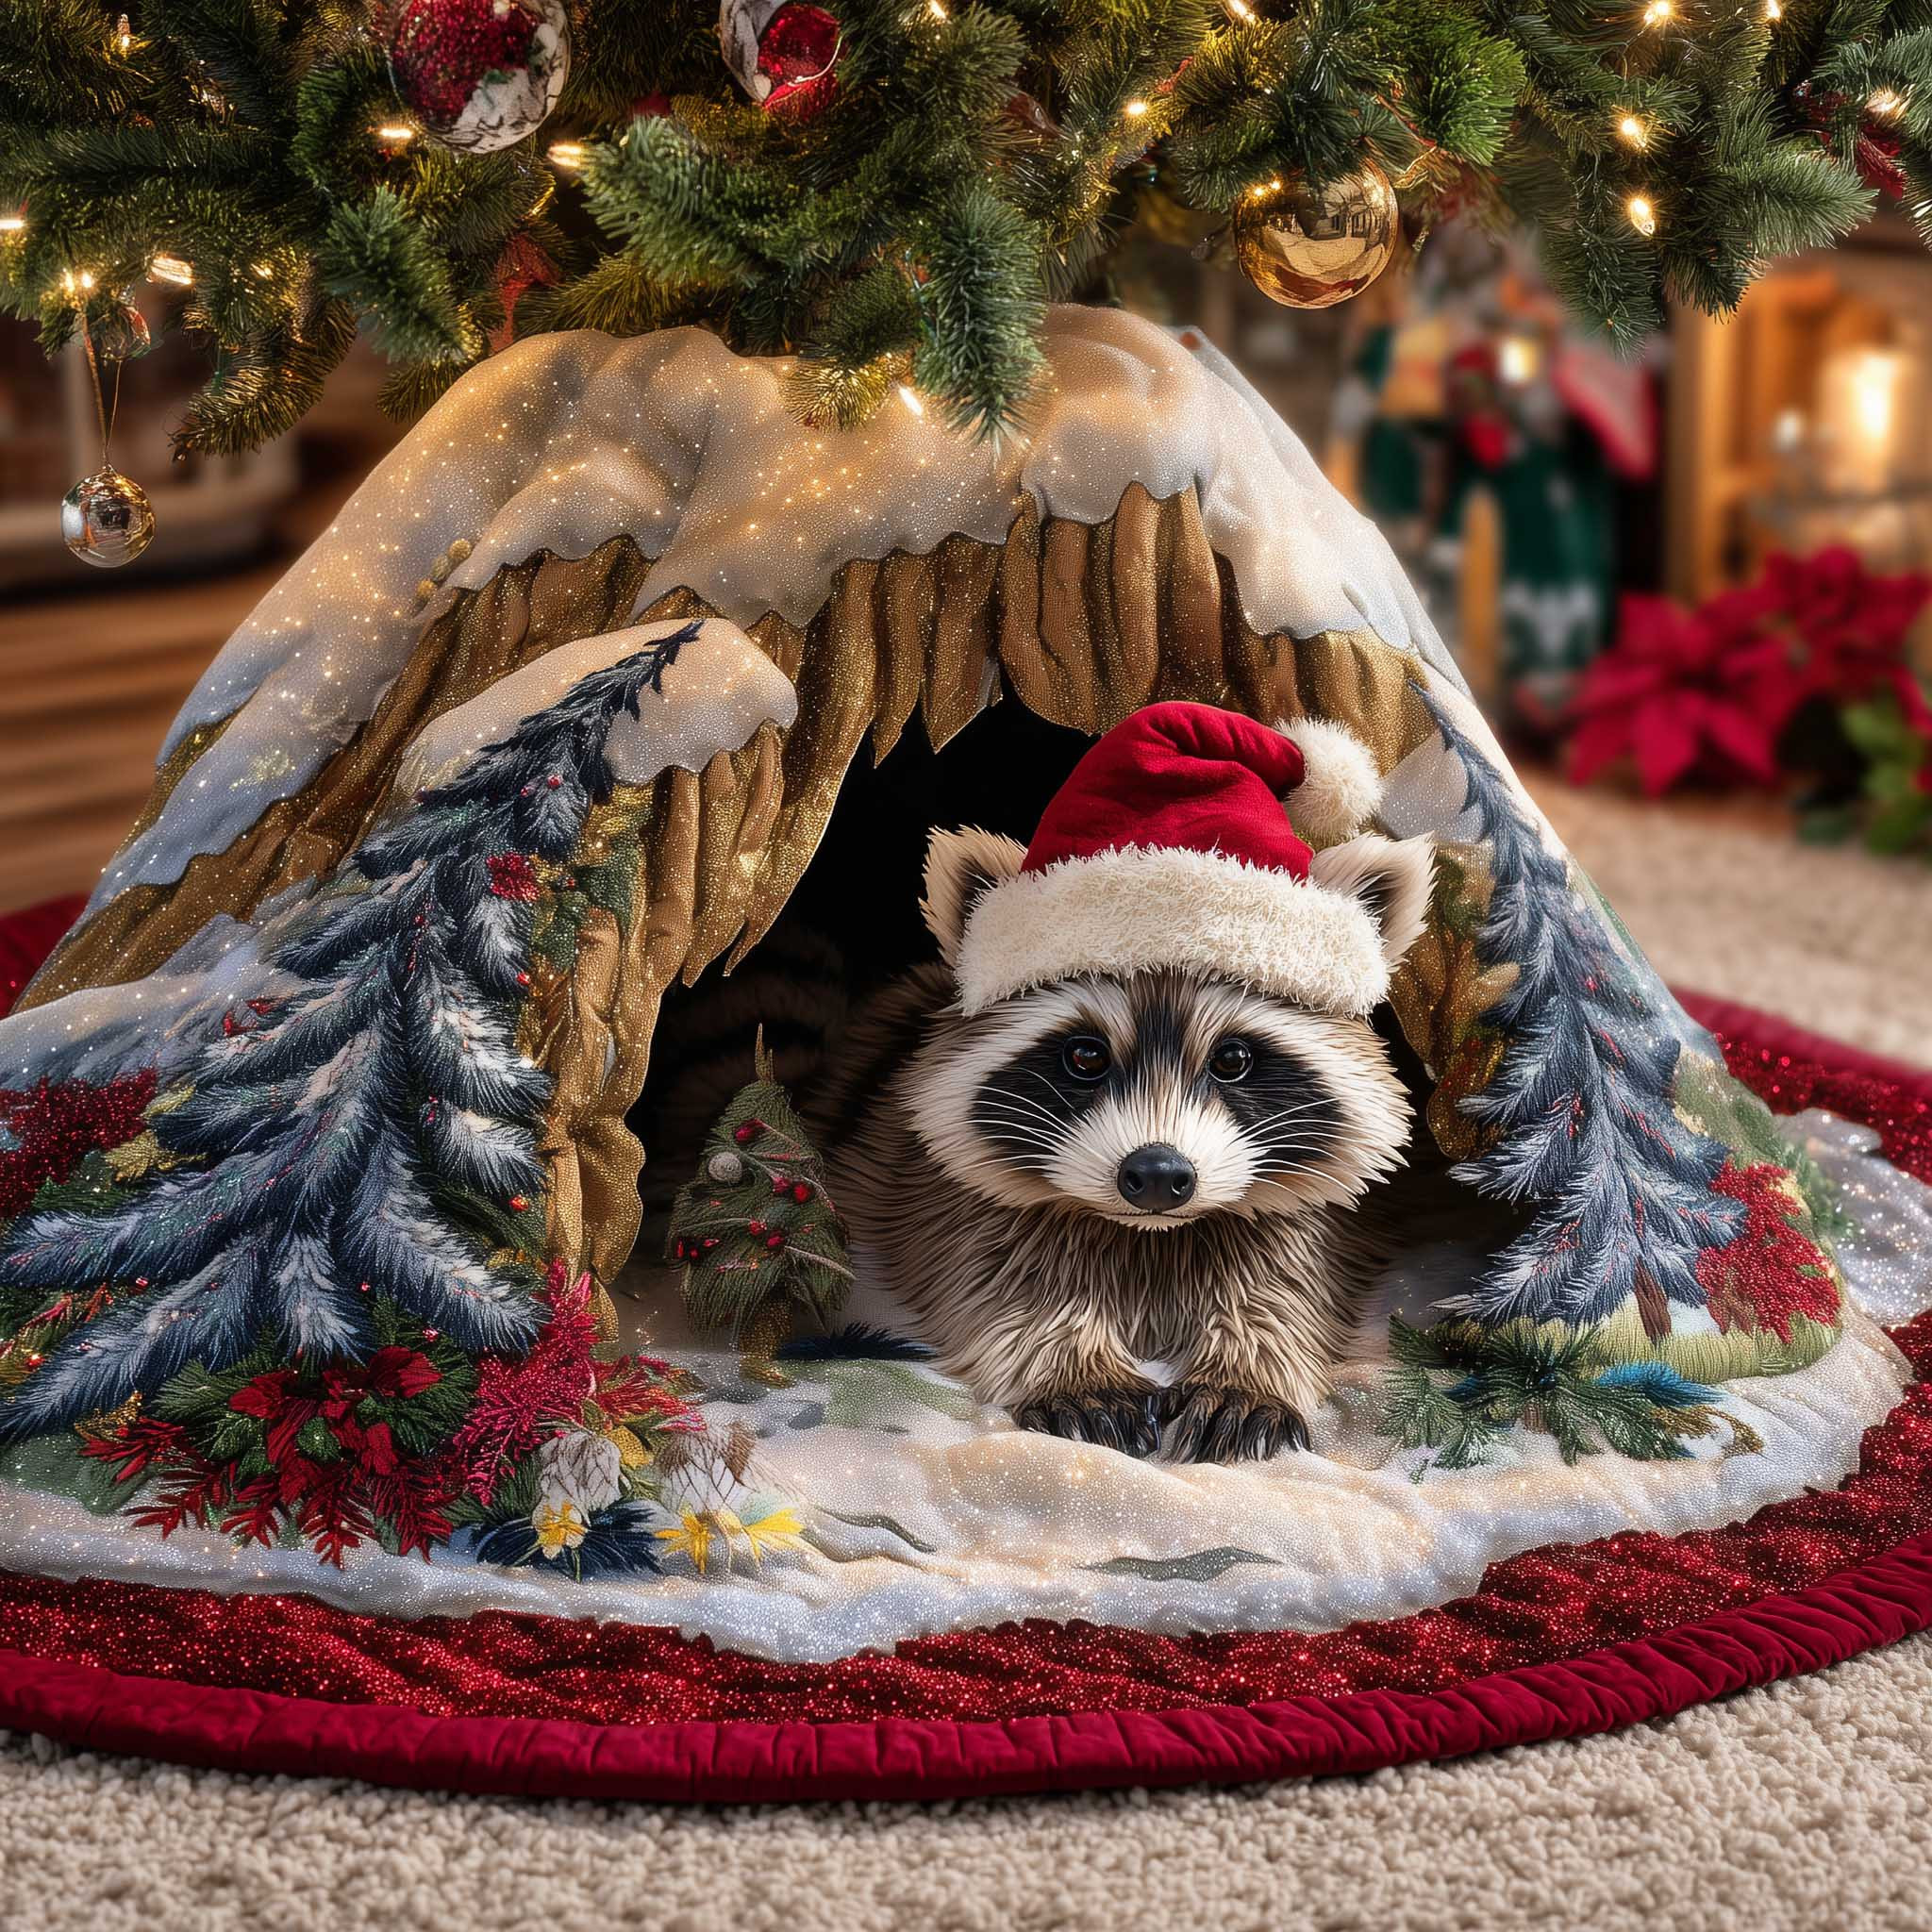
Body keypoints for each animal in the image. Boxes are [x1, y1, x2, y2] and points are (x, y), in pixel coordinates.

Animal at [822, 822, 1435, 1462]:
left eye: (1232, 1059)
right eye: (1086, 1056)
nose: (1159, 1175)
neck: (1150, 1237)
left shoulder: (1322, 1229)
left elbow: (1286, 1296)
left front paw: (1243, 1369)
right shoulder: (941, 1204)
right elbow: (1001, 1286)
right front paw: (1077, 1364)